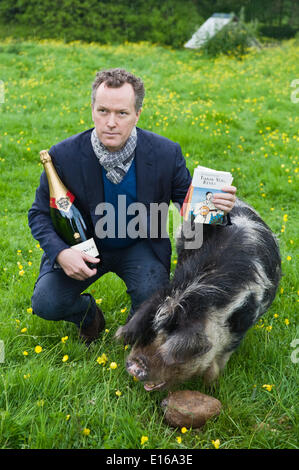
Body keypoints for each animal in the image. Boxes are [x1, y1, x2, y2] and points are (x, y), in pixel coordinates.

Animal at [116, 200, 282, 392]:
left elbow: (219, 360)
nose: (134, 364)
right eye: (150, 332)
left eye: (168, 341)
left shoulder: (241, 324)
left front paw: (212, 387)